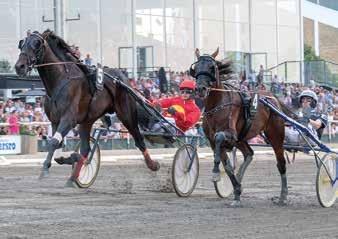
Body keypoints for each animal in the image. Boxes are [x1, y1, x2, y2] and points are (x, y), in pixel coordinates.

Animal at [13, 30, 159, 187]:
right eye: (22, 43)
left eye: (37, 44)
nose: (19, 66)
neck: (61, 80)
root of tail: (124, 79)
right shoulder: (55, 121)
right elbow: (58, 147)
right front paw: (71, 157)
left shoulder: (68, 119)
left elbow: (53, 142)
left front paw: (45, 169)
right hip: (86, 121)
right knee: (85, 149)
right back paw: (73, 177)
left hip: (126, 114)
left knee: (139, 139)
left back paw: (153, 164)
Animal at [190, 48, 288, 205]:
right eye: (196, 68)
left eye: (212, 67)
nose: (200, 89)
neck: (217, 105)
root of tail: (272, 97)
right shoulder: (213, 141)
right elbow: (228, 166)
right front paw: (236, 191)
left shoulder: (230, 134)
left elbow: (219, 137)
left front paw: (216, 173)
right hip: (242, 138)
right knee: (249, 153)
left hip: (275, 135)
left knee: (281, 163)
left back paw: (283, 196)